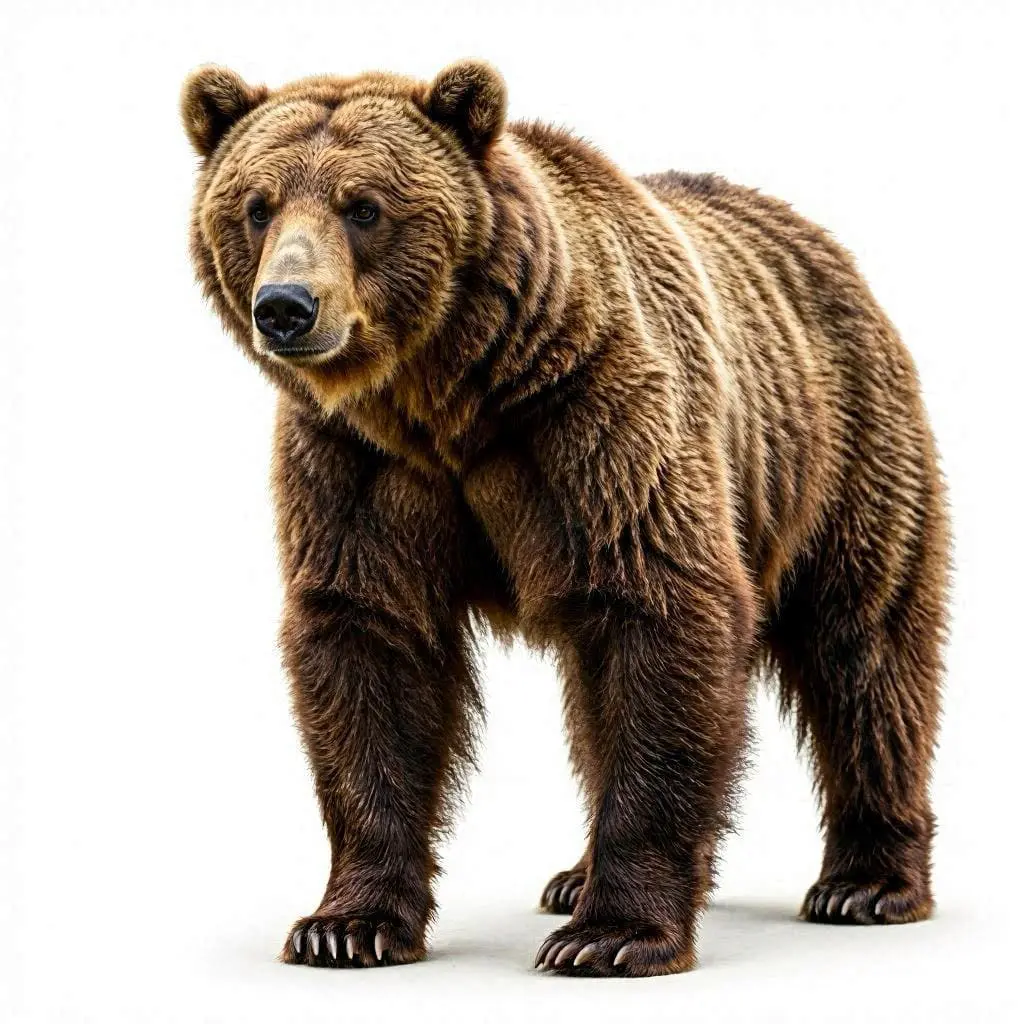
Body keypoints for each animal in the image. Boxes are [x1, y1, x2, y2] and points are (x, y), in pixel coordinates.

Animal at [182, 59, 949, 977]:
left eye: (363, 206)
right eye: (256, 205)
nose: (287, 306)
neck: (448, 399)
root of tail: (823, 241)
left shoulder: (595, 418)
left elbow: (662, 610)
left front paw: (613, 935)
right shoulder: (356, 463)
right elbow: (368, 643)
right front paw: (345, 924)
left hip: (836, 442)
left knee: (864, 646)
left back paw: (865, 883)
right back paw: (573, 876)